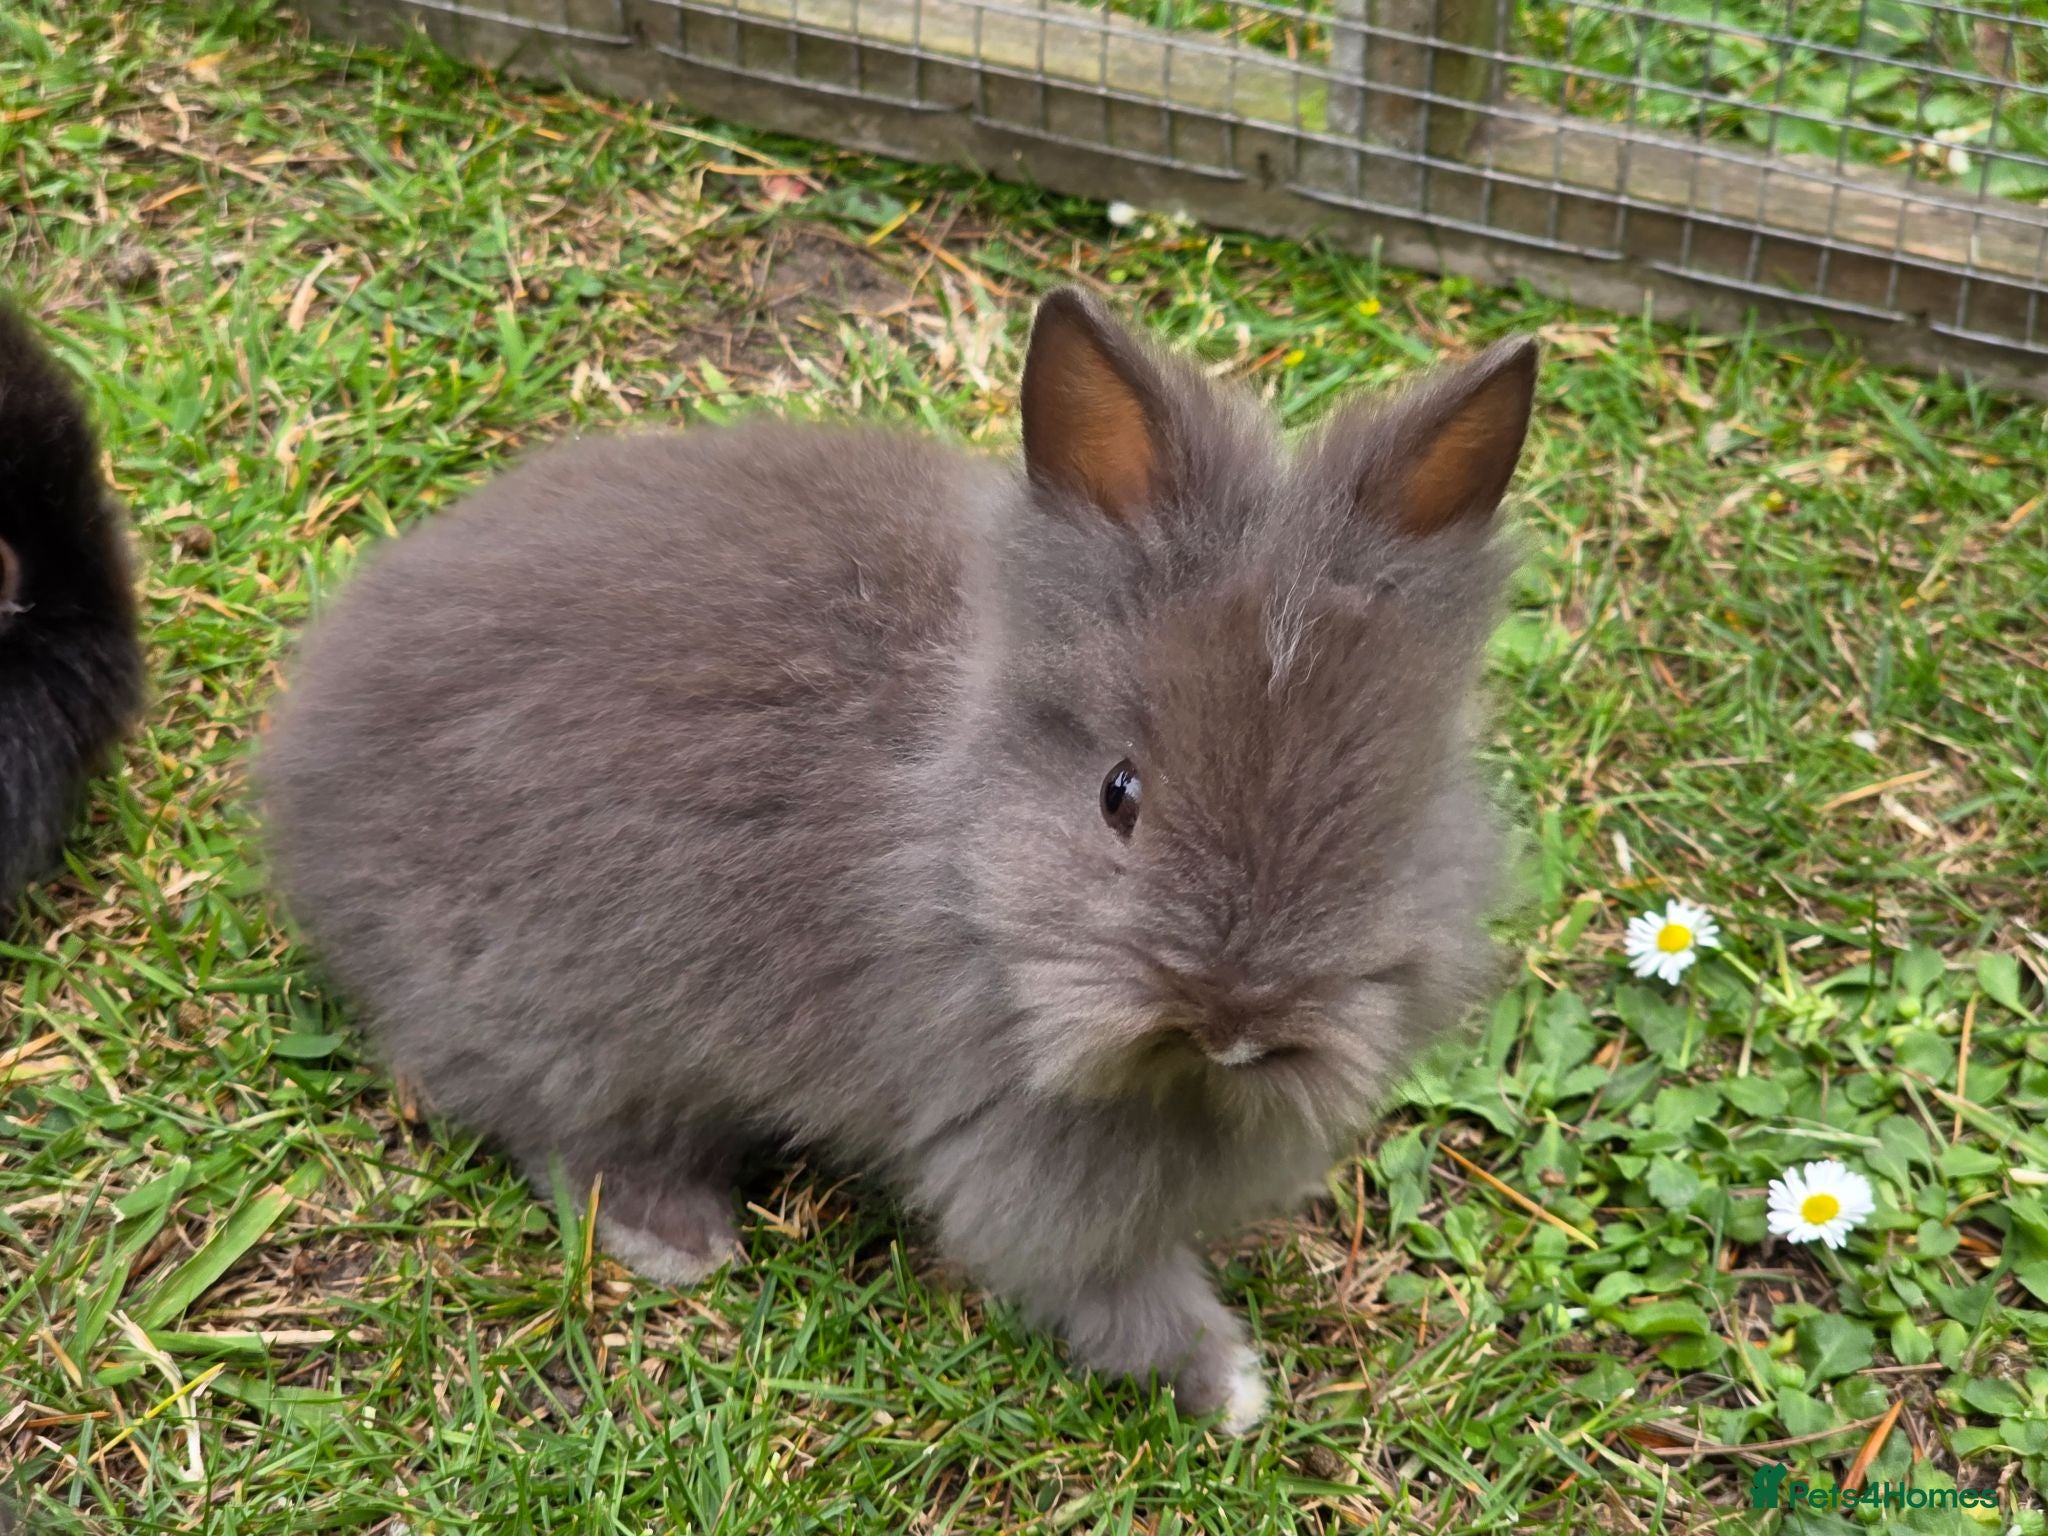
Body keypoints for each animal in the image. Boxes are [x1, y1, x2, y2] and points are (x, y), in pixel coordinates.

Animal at [259, 288, 1537, 1431]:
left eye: (1393, 812)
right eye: (1117, 795)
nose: (1235, 1017)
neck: (956, 827)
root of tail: (303, 776)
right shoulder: (1024, 1166)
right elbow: (1109, 1290)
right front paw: (1226, 1388)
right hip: (572, 1019)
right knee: (553, 1127)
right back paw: (681, 1242)